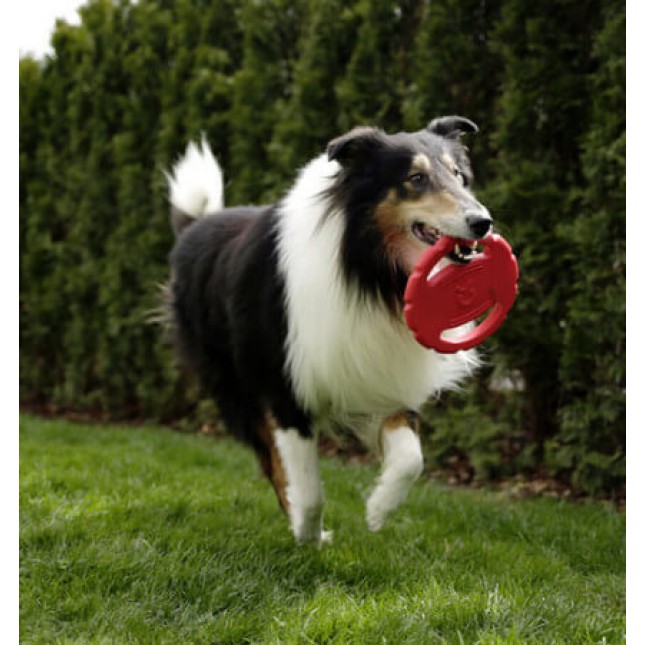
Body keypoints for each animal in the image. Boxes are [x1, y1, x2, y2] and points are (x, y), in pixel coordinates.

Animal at [167, 117, 494, 544]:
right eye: (416, 178)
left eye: (458, 175)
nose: (483, 222)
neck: (368, 269)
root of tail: (196, 225)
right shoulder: (286, 392)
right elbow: (308, 490)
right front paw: (308, 535)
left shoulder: (381, 378)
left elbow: (411, 459)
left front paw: (378, 509)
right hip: (237, 387)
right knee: (271, 465)